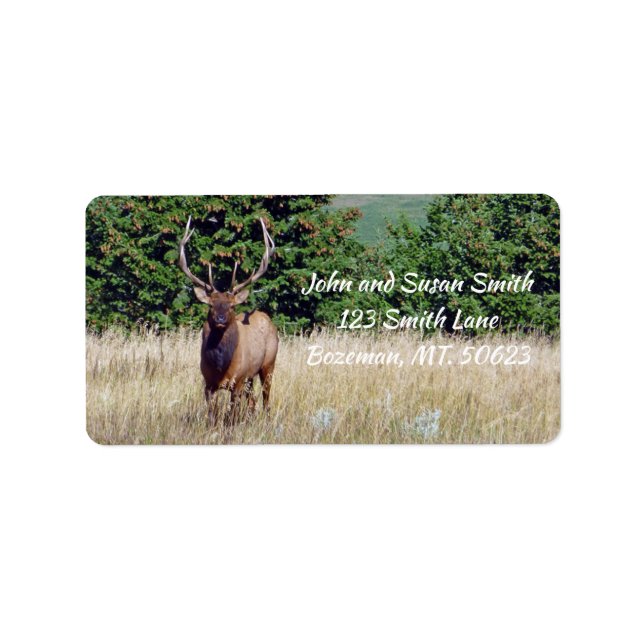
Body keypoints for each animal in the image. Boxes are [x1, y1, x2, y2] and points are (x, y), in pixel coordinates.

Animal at [178, 216, 279, 426]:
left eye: (232, 306)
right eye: (210, 305)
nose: (220, 318)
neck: (221, 364)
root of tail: (266, 317)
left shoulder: (237, 380)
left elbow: (230, 415)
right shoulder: (208, 383)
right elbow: (212, 414)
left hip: (269, 363)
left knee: (266, 398)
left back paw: (266, 420)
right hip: (250, 377)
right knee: (253, 400)